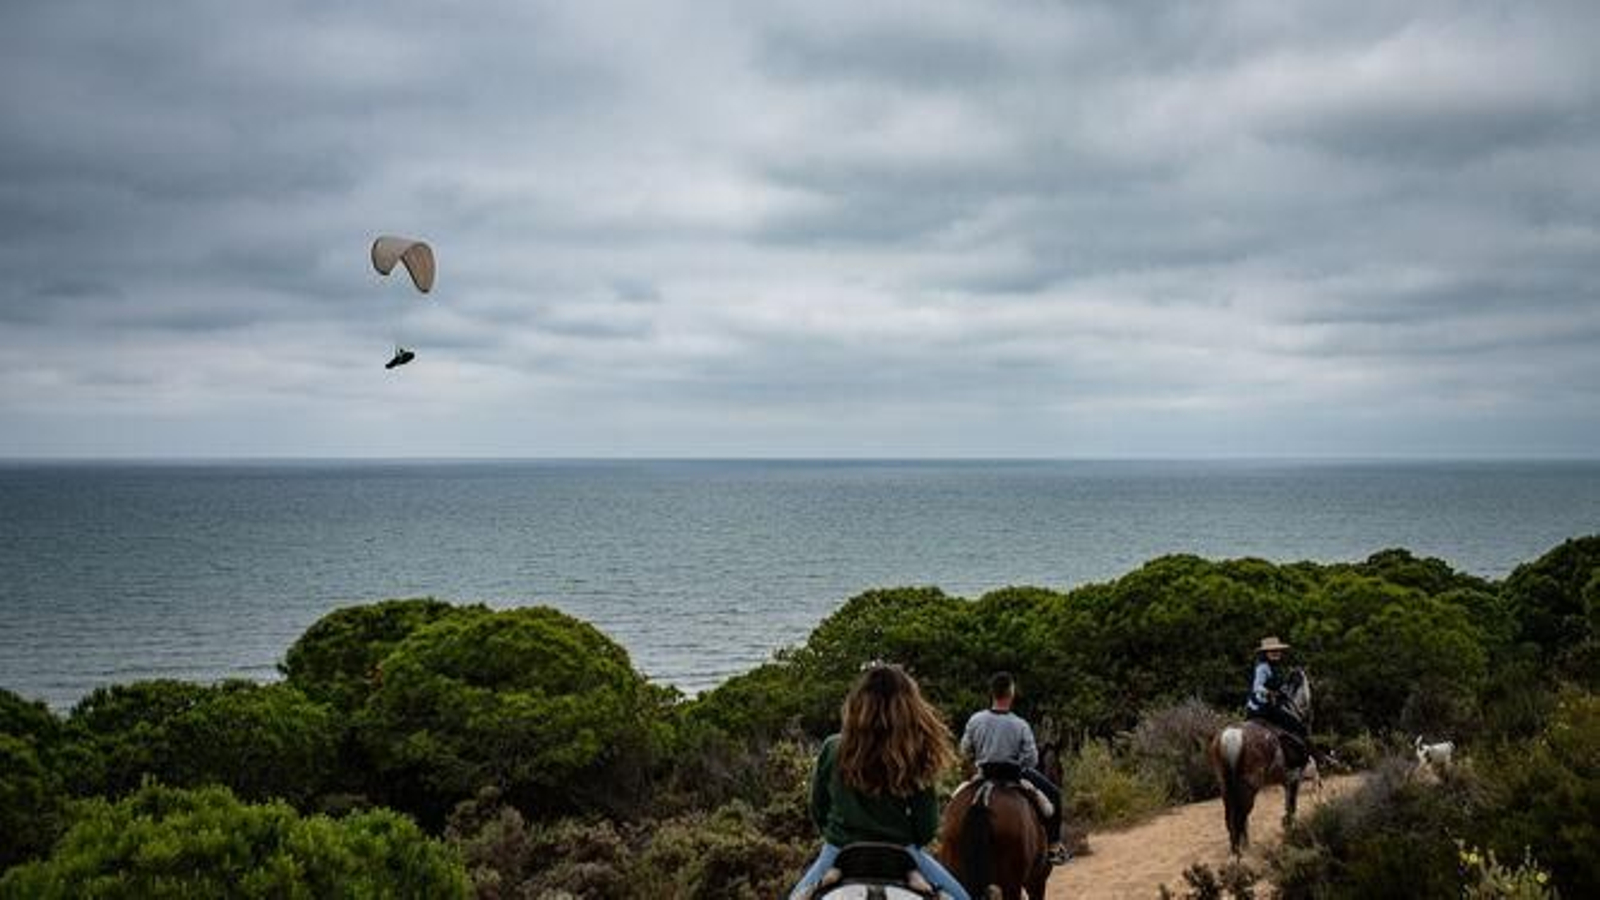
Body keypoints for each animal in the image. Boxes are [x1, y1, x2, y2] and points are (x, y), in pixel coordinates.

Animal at [1207, 667, 1314, 855]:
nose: (1308, 715)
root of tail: (1230, 736)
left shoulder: (1286, 781)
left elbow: (1288, 806)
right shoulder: (1294, 778)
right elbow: (1291, 806)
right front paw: (1291, 831)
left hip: (1225, 787)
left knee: (1231, 817)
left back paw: (1239, 848)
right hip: (1250, 786)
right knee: (1241, 816)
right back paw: (1241, 851)